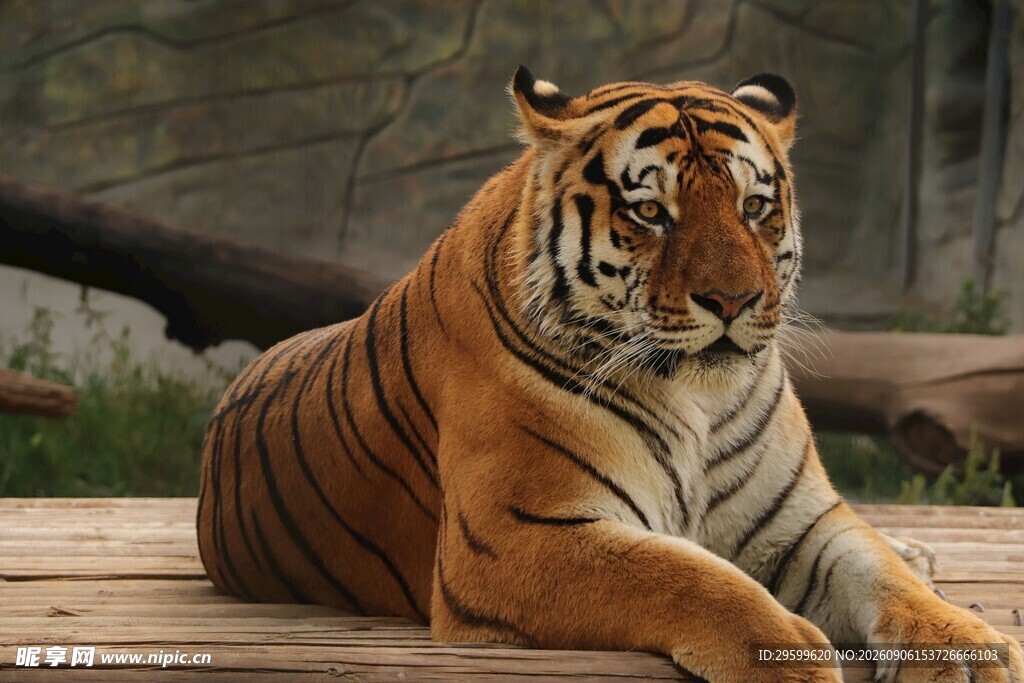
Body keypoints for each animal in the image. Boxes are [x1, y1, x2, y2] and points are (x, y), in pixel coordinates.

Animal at [196, 67, 1024, 682]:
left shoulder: (800, 520)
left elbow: (880, 573)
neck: (701, 397)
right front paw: (791, 661)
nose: (735, 300)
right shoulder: (516, 535)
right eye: (652, 212)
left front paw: (964, 648)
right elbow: (694, 579)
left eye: (755, 205)